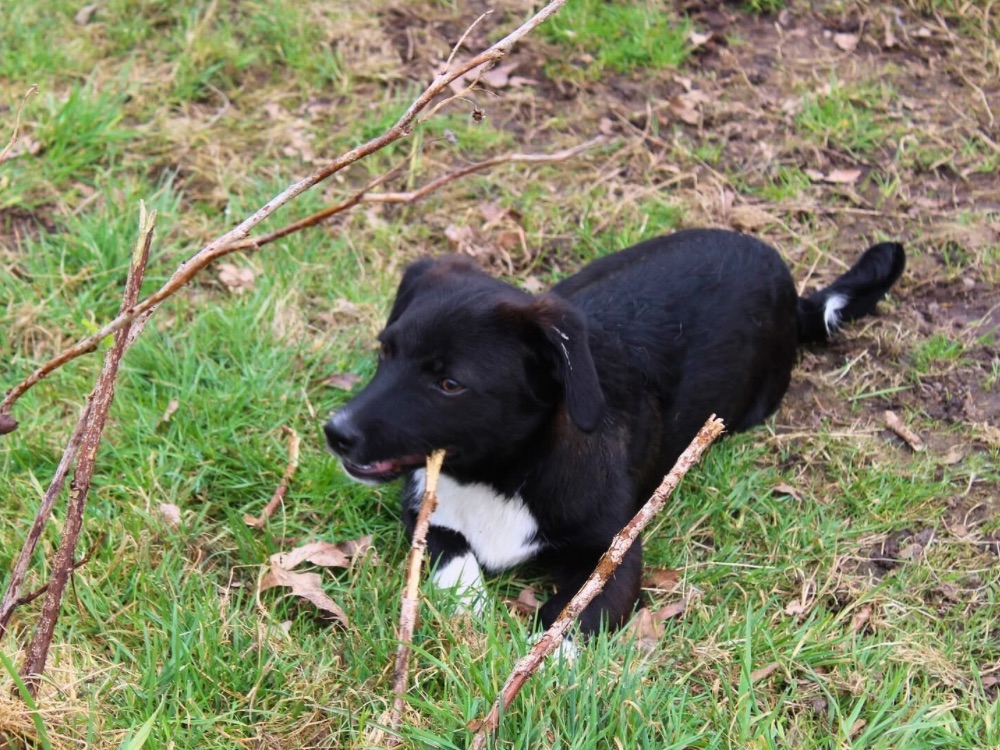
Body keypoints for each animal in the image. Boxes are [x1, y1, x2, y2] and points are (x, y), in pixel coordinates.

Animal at [325, 228, 905, 636]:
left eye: (449, 383)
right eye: (386, 351)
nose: (336, 432)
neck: (505, 477)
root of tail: (791, 290)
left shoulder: (613, 559)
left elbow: (566, 625)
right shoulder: (426, 515)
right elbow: (457, 566)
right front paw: (471, 614)